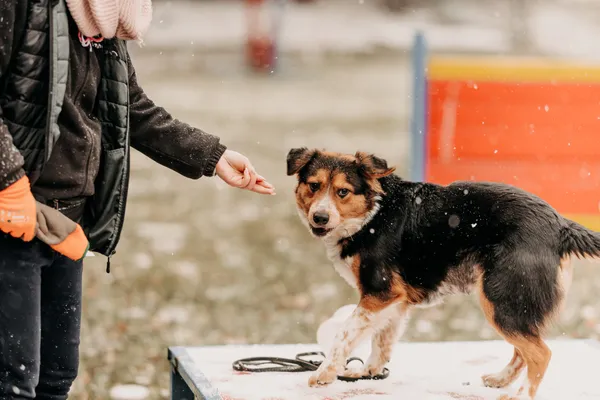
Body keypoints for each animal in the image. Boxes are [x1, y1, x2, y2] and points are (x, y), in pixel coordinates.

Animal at [286, 148, 600, 400]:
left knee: (540, 354)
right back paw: (500, 380)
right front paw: (370, 371)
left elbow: (345, 333)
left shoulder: (378, 292)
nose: (320, 217)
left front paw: (324, 373)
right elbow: (383, 339)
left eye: (342, 192)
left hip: (500, 298)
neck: (372, 214)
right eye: (314, 186)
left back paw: (519, 395)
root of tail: (560, 225)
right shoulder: (394, 299)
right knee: (523, 351)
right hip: (512, 304)